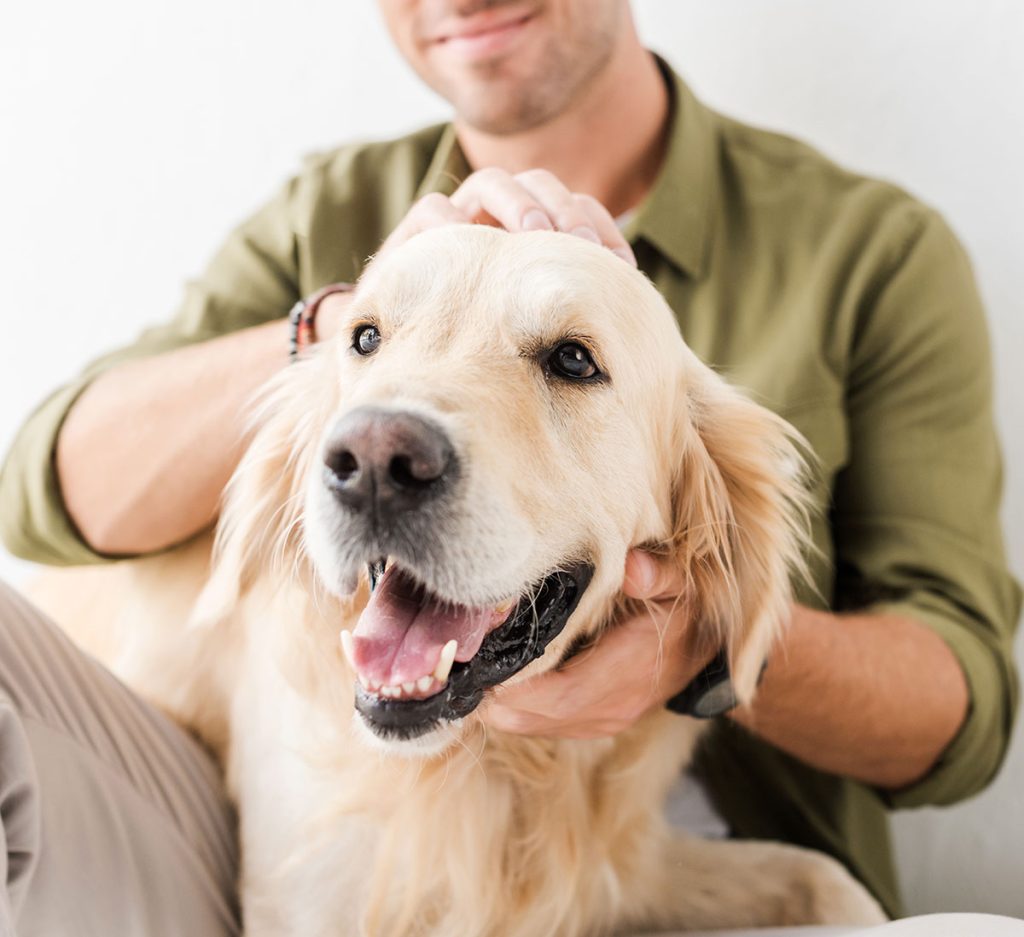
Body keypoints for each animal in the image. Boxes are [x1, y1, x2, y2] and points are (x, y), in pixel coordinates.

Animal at [29, 227, 888, 937]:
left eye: (574, 359)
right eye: (365, 337)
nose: (374, 460)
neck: (491, 764)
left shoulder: (622, 868)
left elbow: (835, 880)